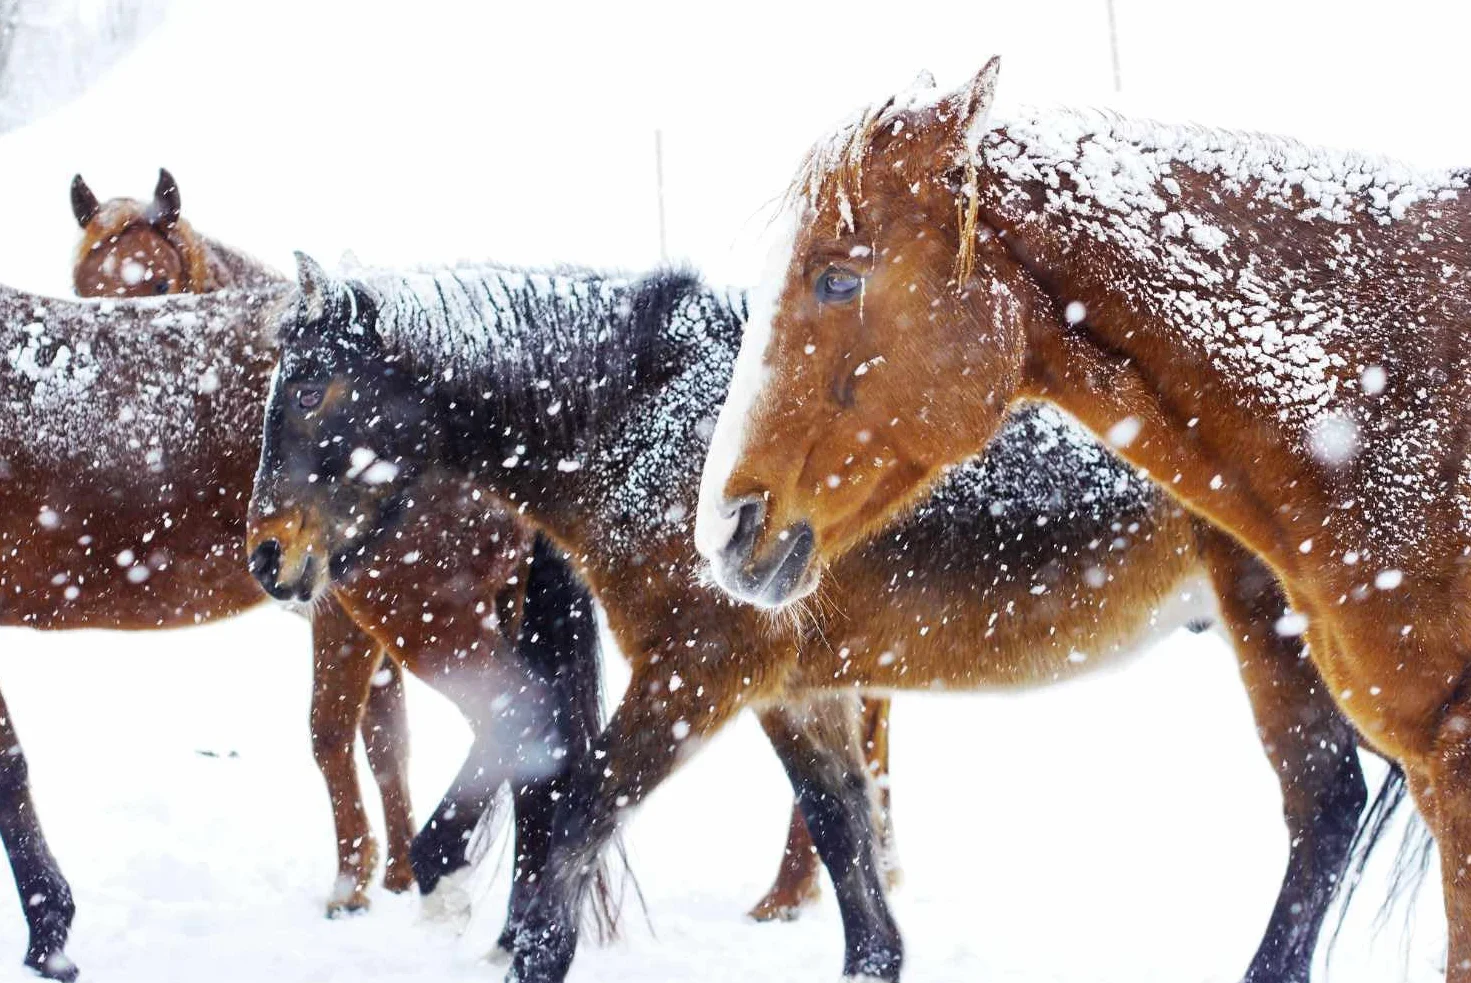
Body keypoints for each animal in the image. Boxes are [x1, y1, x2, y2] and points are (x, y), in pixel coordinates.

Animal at [251, 254, 1391, 983]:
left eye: (311, 389)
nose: (267, 554)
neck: (648, 422)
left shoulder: (695, 674)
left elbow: (565, 837)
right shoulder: (793, 690)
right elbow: (848, 855)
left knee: (1325, 801)